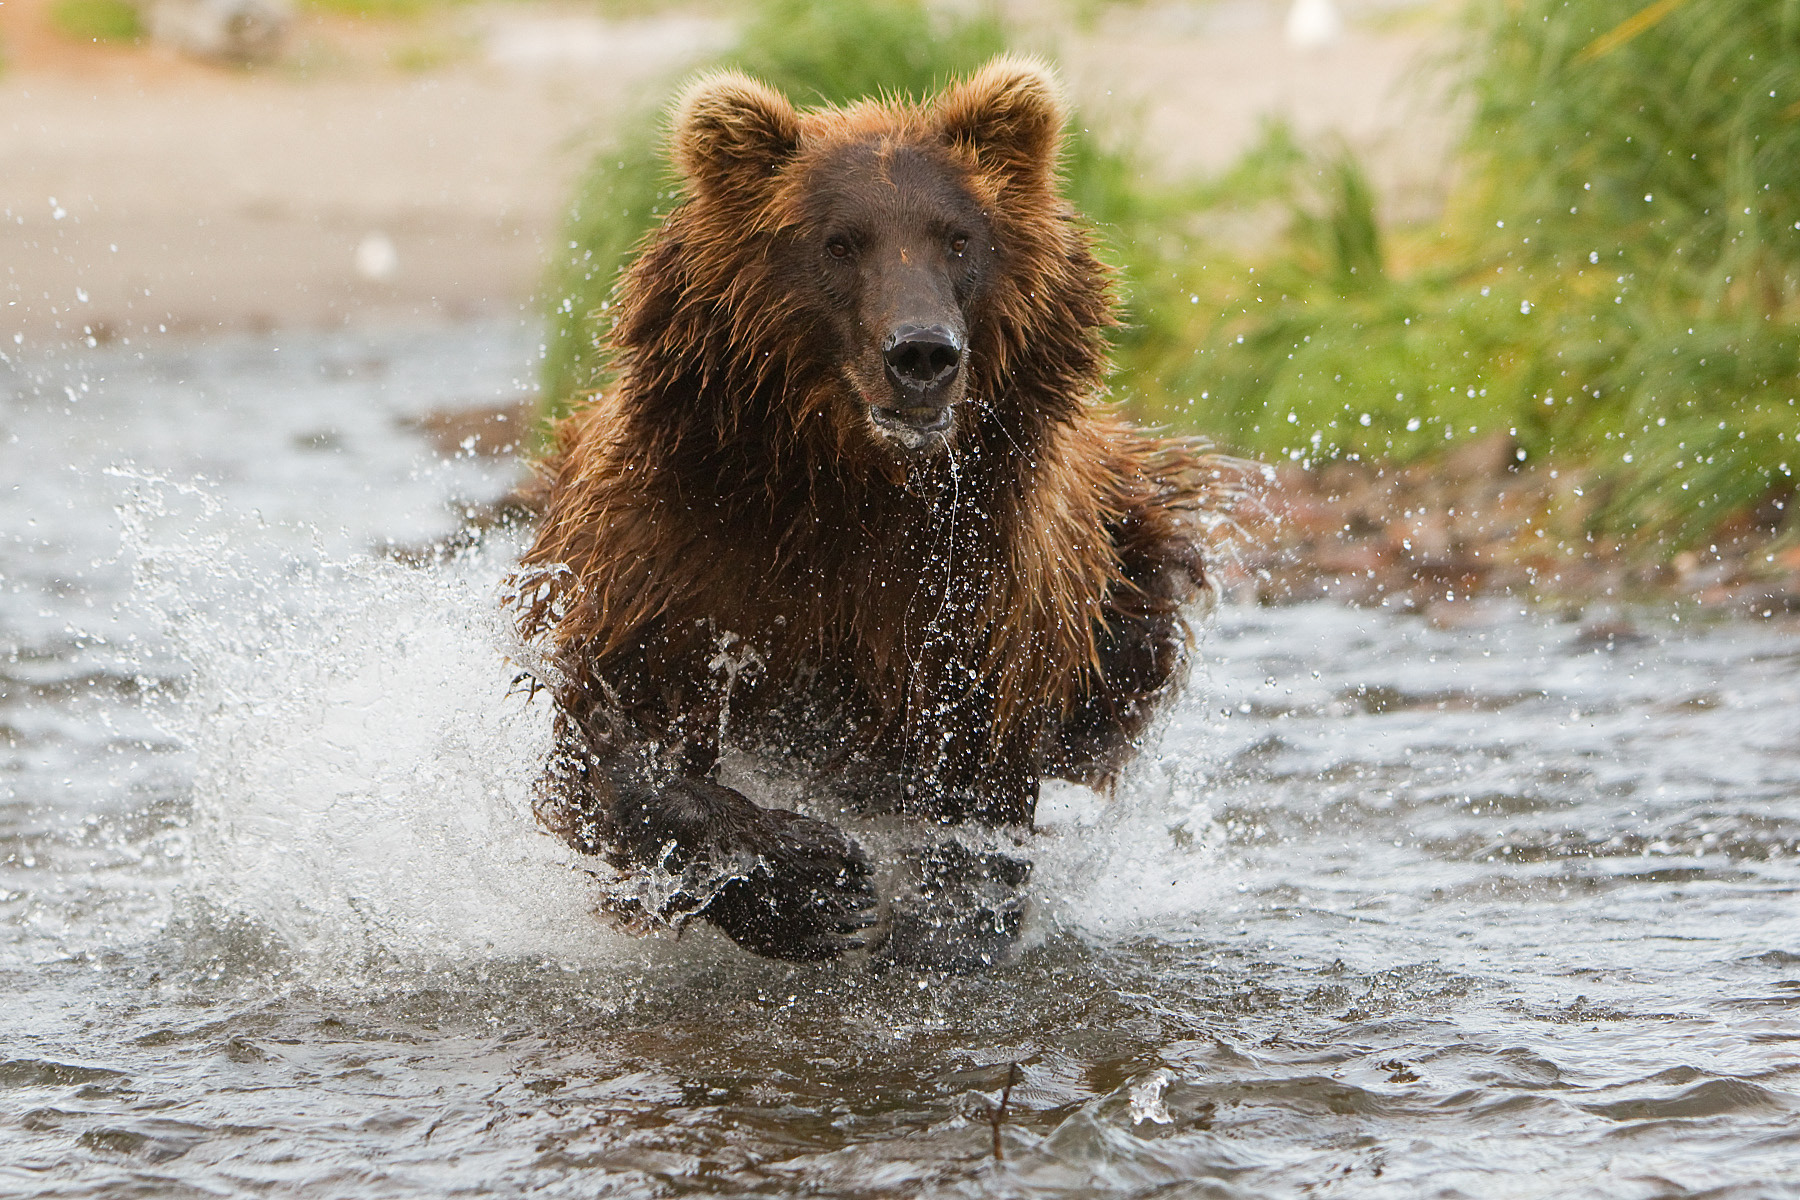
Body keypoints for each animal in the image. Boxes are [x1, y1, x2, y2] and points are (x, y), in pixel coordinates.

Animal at [509, 57, 1215, 968]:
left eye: (958, 236)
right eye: (839, 242)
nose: (922, 353)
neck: (852, 483)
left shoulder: (978, 583)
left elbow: (973, 776)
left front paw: (943, 925)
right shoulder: (672, 549)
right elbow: (616, 741)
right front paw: (813, 882)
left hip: (1123, 559)